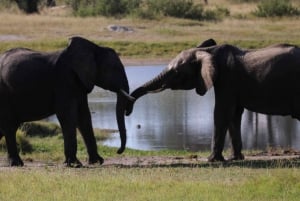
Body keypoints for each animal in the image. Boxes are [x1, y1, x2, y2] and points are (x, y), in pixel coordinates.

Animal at [0, 36, 134, 166]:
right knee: (10, 127)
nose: (118, 151)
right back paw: (16, 163)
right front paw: (75, 164)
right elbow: (68, 115)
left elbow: (84, 116)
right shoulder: (63, 81)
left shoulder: (80, 84)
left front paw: (97, 162)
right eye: (115, 68)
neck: (95, 48)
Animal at [125, 38, 300, 162]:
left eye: (176, 72)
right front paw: (235, 158)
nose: (127, 111)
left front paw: (212, 160)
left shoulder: (228, 78)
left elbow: (222, 112)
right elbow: (233, 115)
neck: (208, 51)